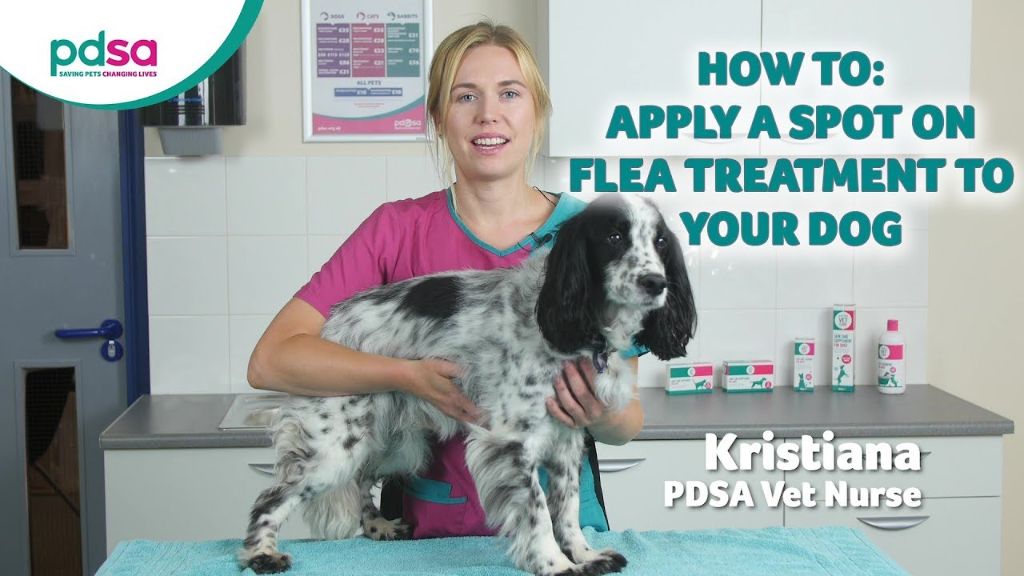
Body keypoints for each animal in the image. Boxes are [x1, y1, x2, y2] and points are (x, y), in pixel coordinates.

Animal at [243, 193, 700, 573]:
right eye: (613, 236)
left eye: (660, 242)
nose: (656, 283)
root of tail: (332, 325)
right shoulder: (510, 442)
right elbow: (538, 511)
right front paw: (554, 563)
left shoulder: (567, 439)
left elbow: (567, 507)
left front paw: (585, 555)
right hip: (335, 447)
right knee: (270, 498)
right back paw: (261, 554)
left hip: (394, 445)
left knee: (358, 482)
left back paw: (379, 528)